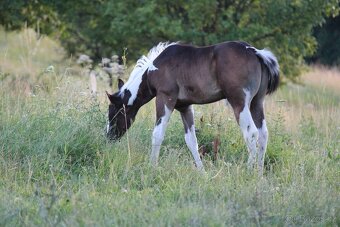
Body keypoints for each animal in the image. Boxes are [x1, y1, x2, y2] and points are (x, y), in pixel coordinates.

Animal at [107, 40, 278, 173]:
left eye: (114, 113)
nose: (109, 137)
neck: (152, 71)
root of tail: (255, 52)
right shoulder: (185, 107)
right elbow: (191, 140)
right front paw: (202, 173)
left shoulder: (165, 98)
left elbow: (157, 134)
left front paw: (151, 167)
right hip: (256, 103)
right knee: (263, 134)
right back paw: (259, 173)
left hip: (239, 103)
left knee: (251, 134)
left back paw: (248, 171)